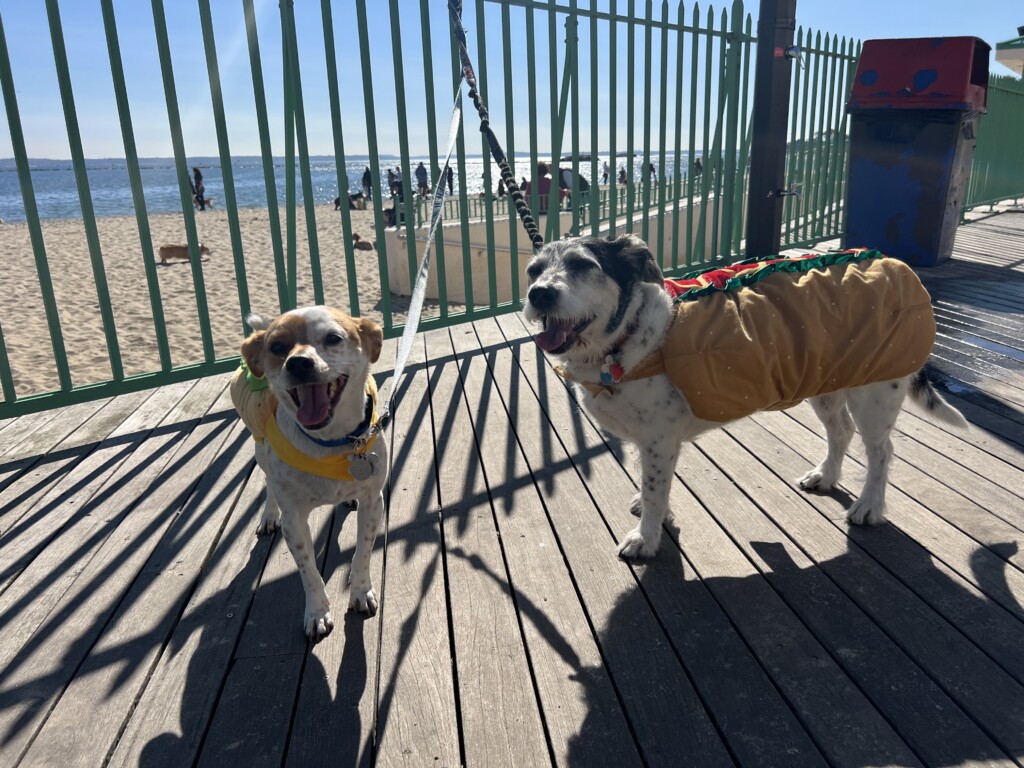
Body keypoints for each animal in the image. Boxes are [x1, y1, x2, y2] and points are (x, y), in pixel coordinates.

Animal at [230, 307, 385, 643]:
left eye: (333, 338)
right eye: (276, 347)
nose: (298, 362)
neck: (331, 442)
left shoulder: (373, 501)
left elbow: (362, 552)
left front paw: (361, 592)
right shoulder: (295, 521)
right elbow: (309, 571)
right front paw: (317, 613)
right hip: (261, 449)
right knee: (268, 485)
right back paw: (268, 517)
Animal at [528, 233, 966, 561]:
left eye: (583, 265)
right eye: (533, 270)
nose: (538, 294)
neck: (626, 342)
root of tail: (894, 263)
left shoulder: (658, 440)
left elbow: (655, 491)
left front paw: (645, 538)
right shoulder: (648, 441)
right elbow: (652, 484)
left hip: (873, 391)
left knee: (881, 452)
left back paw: (869, 506)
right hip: (825, 378)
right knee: (840, 432)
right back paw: (824, 476)